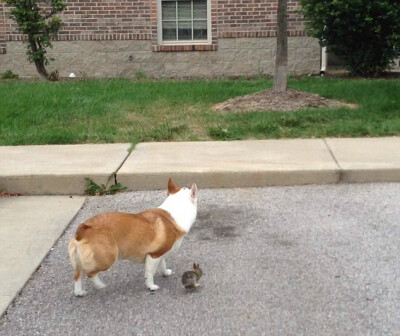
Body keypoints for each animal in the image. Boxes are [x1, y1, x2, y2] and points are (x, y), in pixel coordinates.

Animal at [68, 177, 198, 296]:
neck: (172, 214)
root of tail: (82, 229)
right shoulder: (153, 256)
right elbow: (149, 274)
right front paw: (151, 286)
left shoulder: (160, 254)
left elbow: (162, 264)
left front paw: (165, 272)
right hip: (107, 259)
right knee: (90, 273)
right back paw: (100, 285)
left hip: (79, 260)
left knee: (77, 275)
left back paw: (79, 292)